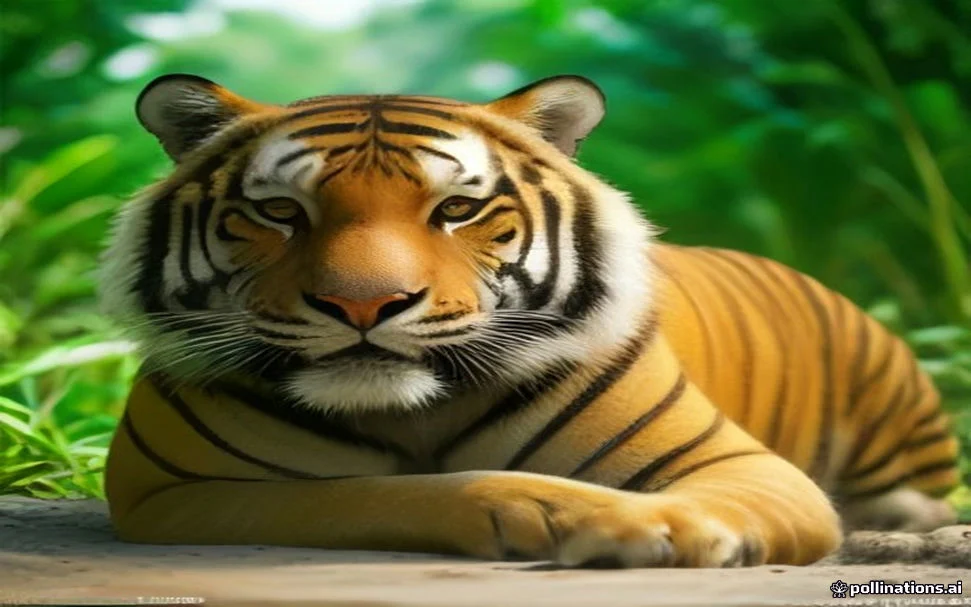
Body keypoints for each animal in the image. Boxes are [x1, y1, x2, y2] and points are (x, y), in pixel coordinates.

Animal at [98, 73, 961, 568]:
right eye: (279, 212)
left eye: (455, 209)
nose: (364, 304)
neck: (411, 411)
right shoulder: (169, 488)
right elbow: (378, 492)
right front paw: (567, 513)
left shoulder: (747, 466)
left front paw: (663, 526)